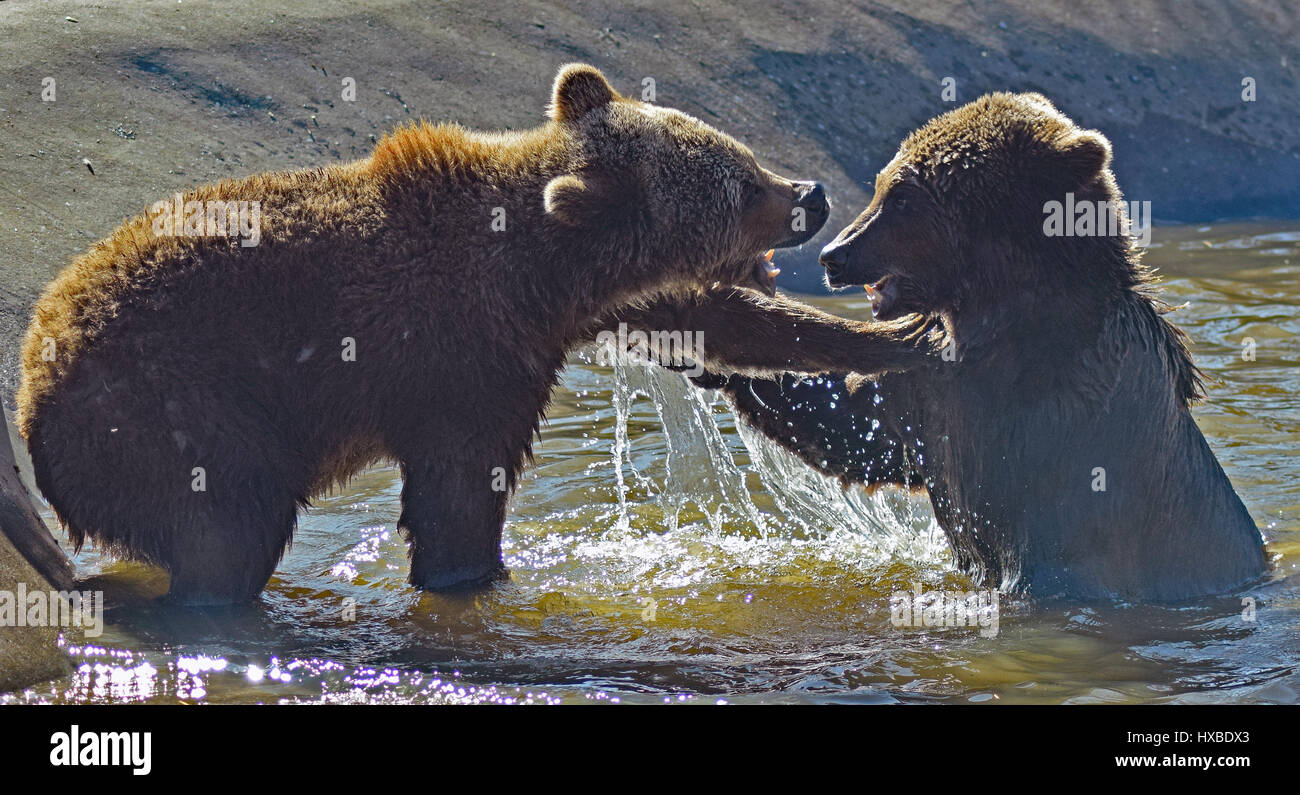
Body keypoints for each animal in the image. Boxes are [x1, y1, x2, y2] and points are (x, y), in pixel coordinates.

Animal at [15, 65, 941, 605]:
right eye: (739, 183)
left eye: (737, 151)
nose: (812, 192)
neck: (541, 265)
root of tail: (29, 385)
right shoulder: (463, 352)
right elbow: (459, 488)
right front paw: (478, 573)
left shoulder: (585, 307)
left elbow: (719, 319)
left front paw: (901, 334)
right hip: (173, 408)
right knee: (232, 518)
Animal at [634, 92, 1263, 602]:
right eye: (884, 183)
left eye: (904, 196)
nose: (834, 255)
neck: (1001, 319)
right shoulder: (931, 388)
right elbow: (859, 425)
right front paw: (690, 347)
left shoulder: (1055, 424)